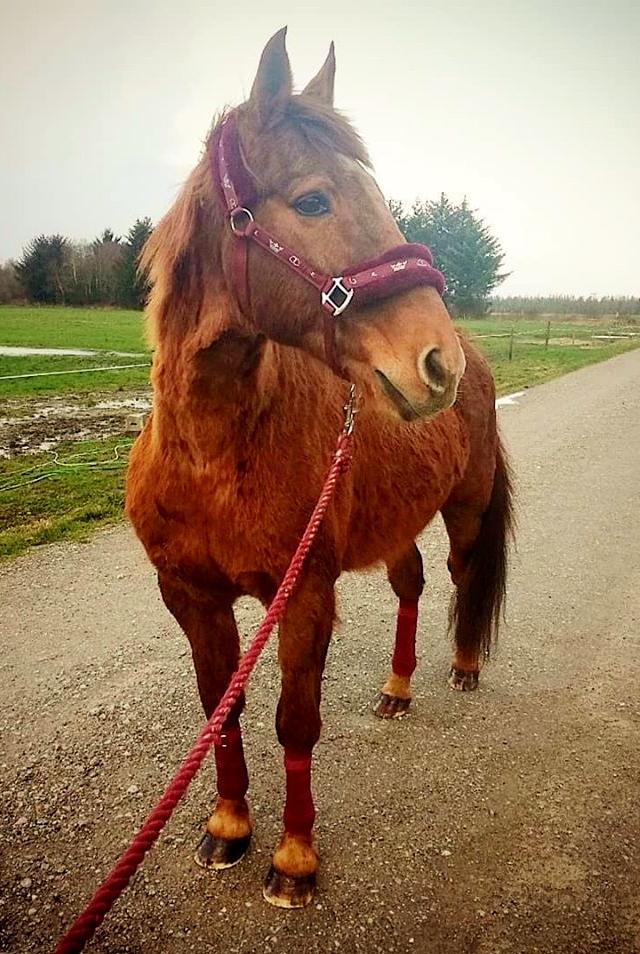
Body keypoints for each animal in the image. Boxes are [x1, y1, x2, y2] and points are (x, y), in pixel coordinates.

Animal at [126, 27, 516, 908]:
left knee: (462, 574)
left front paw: (295, 860)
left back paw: (464, 668)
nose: (433, 362)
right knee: (410, 584)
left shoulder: (304, 594)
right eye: (312, 201)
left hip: (465, 508)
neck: (216, 456)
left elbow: (295, 722)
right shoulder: (191, 597)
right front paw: (229, 827)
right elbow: (221, 710)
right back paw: (397, 690)